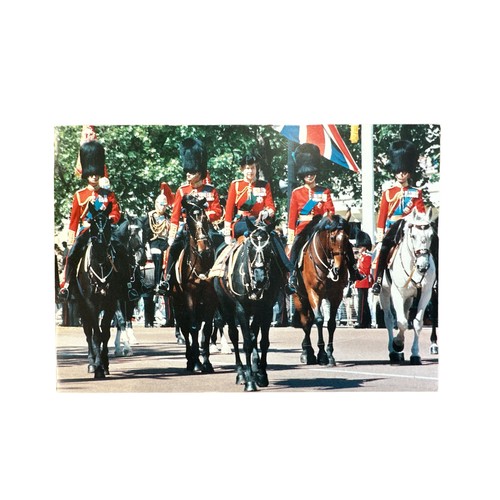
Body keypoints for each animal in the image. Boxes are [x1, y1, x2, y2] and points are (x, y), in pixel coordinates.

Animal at [74, 201, 123, 376]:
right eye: (93, 222)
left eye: (108, 222)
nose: (101, 242)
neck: (100, 264)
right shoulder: (90, 304)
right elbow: (96, 335)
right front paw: (97, 367)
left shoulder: (111, 303)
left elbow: (105, 334)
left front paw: (104, 364)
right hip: (81, 306)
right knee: (88, 332)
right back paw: (91, 363)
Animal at [169, 194, 218, 372]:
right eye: (188, 220)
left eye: (204, 218)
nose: (204, 249)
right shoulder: (189, 297)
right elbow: (193, 328)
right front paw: (197, 362)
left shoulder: (211, 298)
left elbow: (207, 329)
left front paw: (207, 362)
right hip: (177, 303)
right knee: (185, 328)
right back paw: (190, 360)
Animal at [213, 218, 288, 390]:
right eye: (250, 247)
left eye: (269, 248)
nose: (260, 278)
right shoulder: (241, 310)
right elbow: (246, 342)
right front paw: (249, 382)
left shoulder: (266, 309)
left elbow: (263, 341)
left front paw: (261, 374)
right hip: (226, 307)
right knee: (234, 335)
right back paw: (241, 374)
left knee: (253, 335)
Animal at [292, 217, 350, 366]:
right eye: (333, 237)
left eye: (347, 238)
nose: (338, 269)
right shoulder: (314, 293)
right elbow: (319, 320)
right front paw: (322, 354)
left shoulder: (336, 296)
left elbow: (331, 323)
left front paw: (329, 354)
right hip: (299, 297)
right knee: (306, 322)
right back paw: (307, 353)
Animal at [378, 207, 438, 364]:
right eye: (413, 236)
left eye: (431, 235)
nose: (423, 266)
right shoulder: (397, 293)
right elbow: (402, 323)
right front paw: (398, 344)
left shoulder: (426, 293)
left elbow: (416, 323)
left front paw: (415, 354)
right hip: (384, 293)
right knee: (389, 319)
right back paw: (393, 352)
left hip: (410, 297)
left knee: (404, 314)